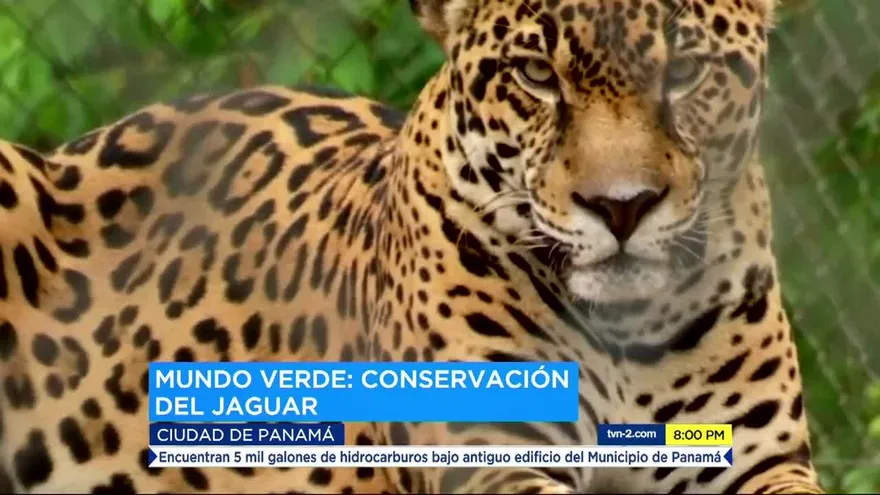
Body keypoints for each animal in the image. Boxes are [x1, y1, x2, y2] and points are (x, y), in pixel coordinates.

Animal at [0, 0, 825, 493]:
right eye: (536, 75)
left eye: (685, 72)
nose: (621, 206)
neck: (626, 334)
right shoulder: (488, 455)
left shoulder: (757, 460)